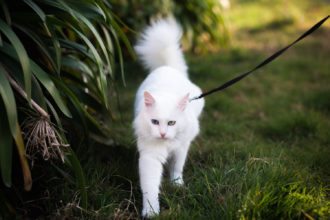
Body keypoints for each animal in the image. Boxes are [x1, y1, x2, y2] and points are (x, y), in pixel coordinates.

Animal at [133, 19, 202, 218]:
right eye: (155, 122)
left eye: (172, 123)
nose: (163, 134)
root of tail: (167, 67)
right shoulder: (150, 157)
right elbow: (150, 187)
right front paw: (151, 211)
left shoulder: (181, 147)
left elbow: (177, 167)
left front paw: (177, 184)